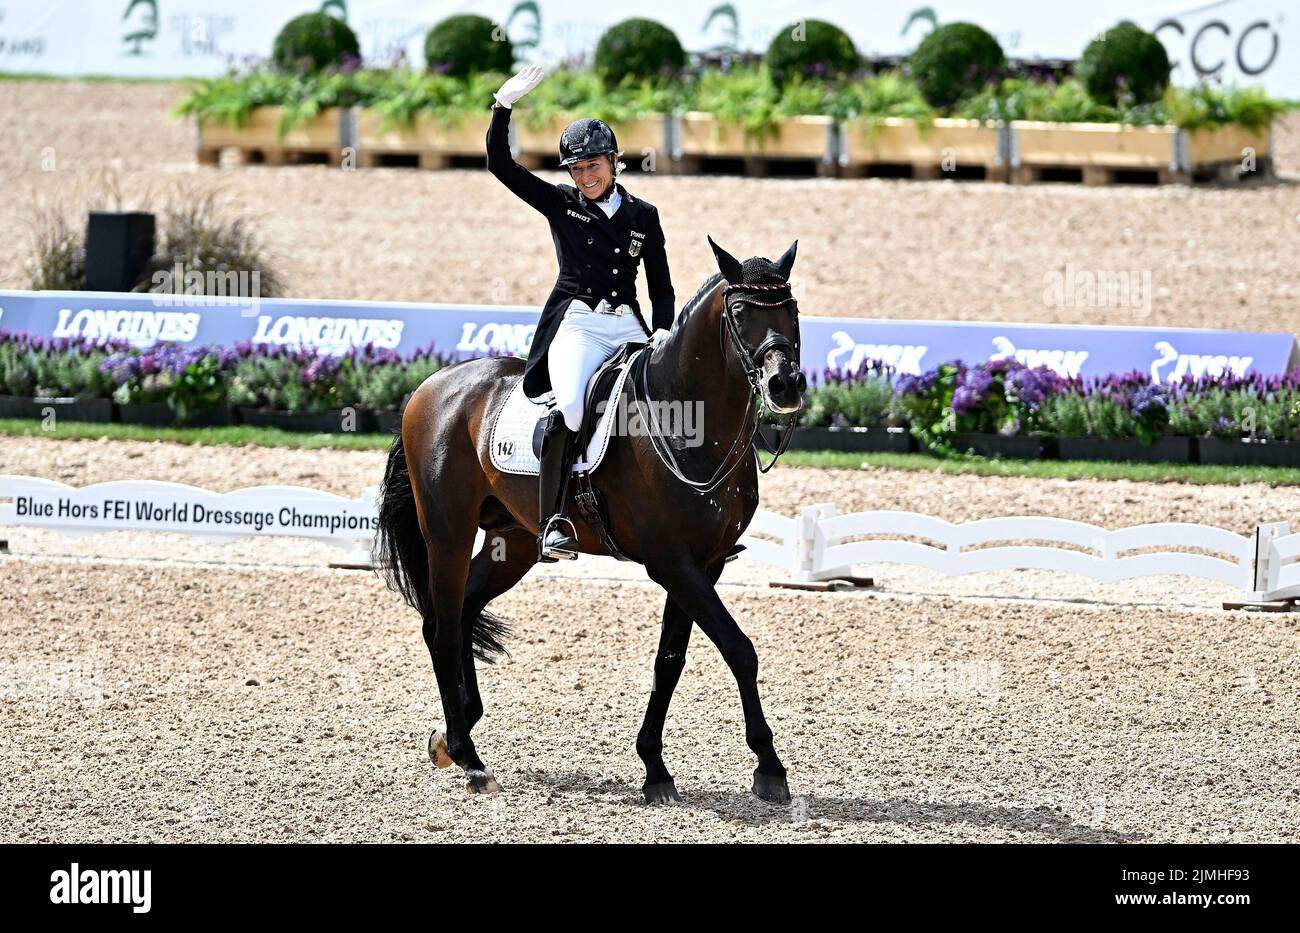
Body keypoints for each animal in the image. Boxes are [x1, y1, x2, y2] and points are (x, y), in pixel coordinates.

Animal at [371, 233, 806, 805]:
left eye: (791, 309)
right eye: (739, 312)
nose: (785, 385)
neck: (686, 419)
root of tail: (430, 386)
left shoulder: (704, 564)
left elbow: (670, 661)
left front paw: (655, 769)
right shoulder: (671, 562)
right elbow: (739, 648)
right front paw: (769, 767)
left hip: (513, 543)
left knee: (458, 612)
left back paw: (453, 731)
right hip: (448, 533)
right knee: (441, 626)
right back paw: (469, 758)